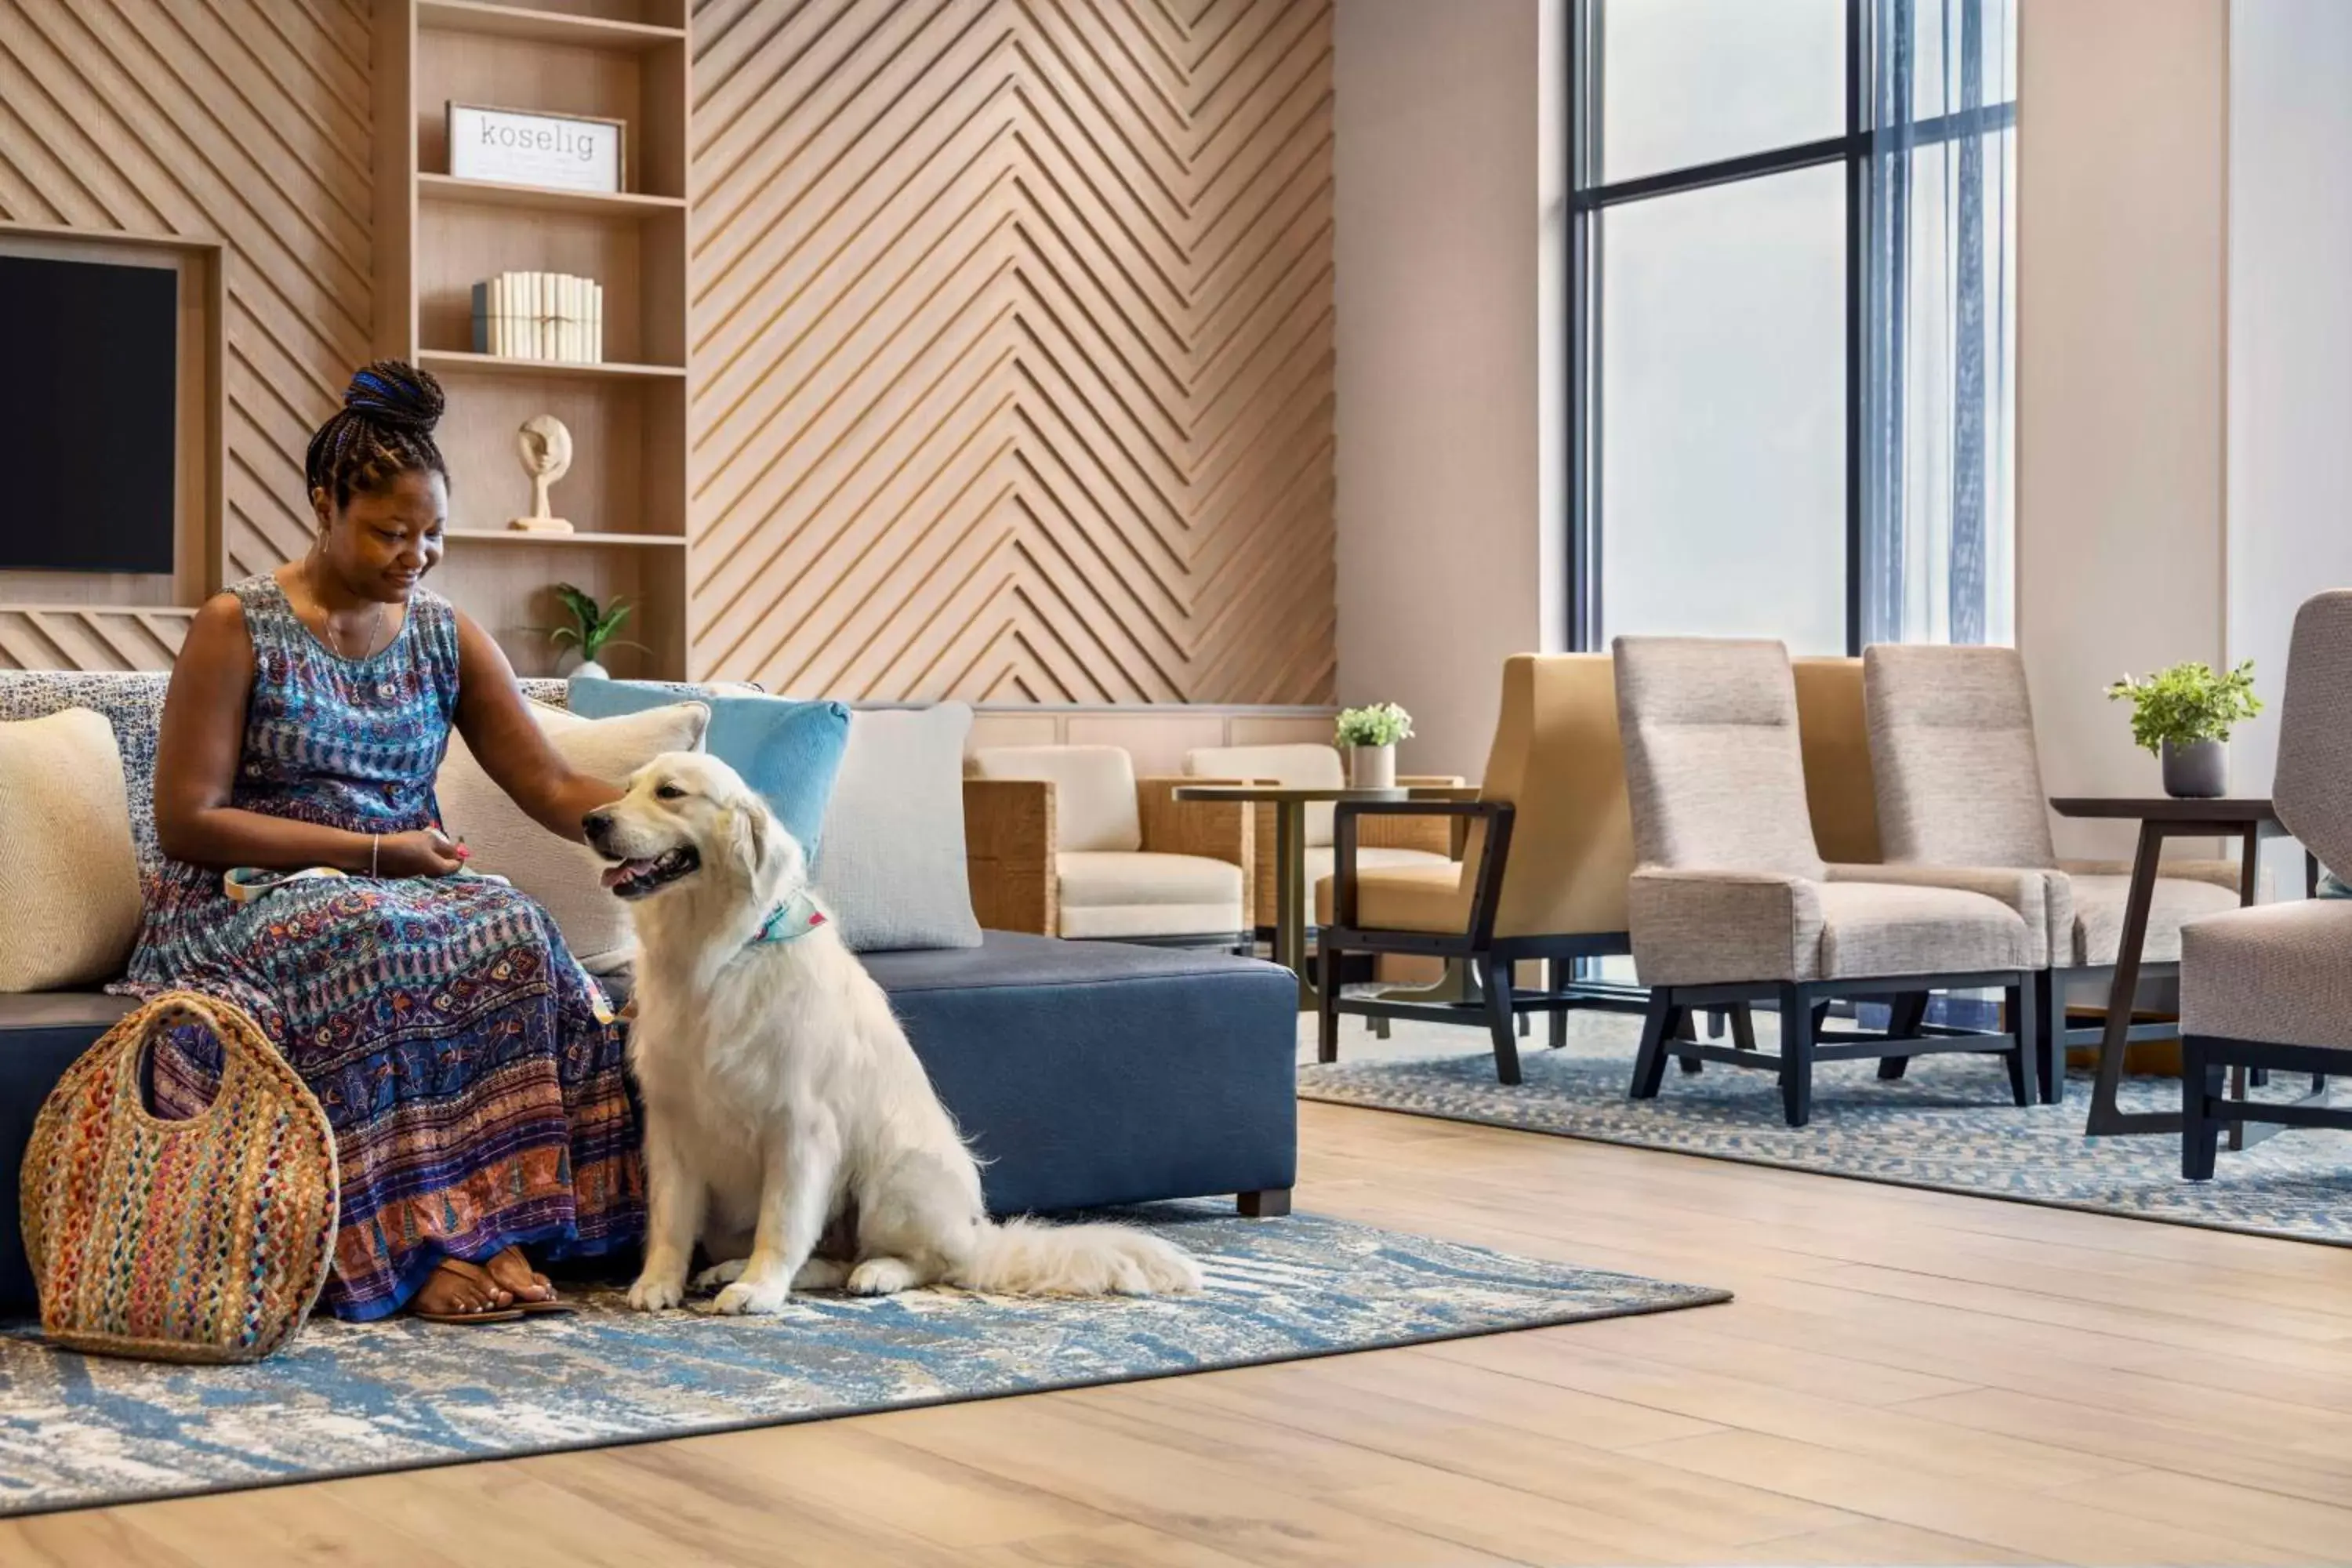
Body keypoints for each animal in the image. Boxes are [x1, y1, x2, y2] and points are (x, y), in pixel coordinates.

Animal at [586, 752, 1204, 1316]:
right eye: (627, 788)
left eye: (670, 792)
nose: (592, 820)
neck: (717, 953)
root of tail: (976, 1234)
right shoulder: (671, 1123)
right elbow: (670, 1219)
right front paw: (658, 1283)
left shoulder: (800, 1126)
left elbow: (781, 1224)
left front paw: (759, 1289)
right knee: (834, 1259)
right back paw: (732, 1268)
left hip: (893, 1172)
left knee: (927, 1261)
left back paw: (876, 1273)